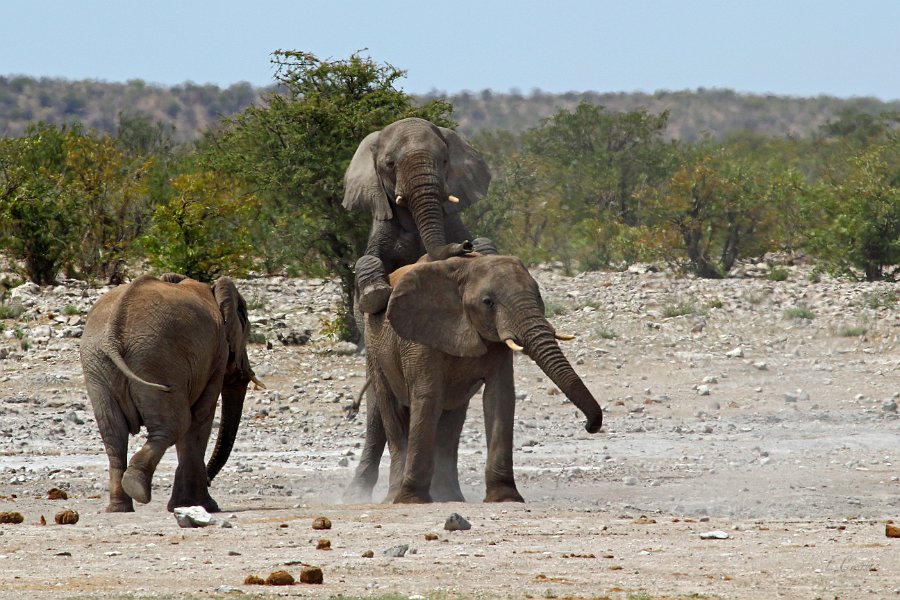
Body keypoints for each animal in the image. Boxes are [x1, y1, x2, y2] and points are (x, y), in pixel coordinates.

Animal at [79, 272, 260, 510]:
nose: (210, 480)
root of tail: (112, 337)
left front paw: (187, 506)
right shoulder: (217, 354)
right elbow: (200, 419)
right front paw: (202, 506)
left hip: (100, 364)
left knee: (113, 434)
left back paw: (119, 508)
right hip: (155, 359)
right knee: (176, 424)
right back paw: (137, 488)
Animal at [344, 255, 604, 504]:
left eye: (538, 295)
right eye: (488, 302)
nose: (590, 426)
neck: (464, 268)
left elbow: (499, 397)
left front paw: (505, 498)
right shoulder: (419, 335)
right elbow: (428, 396)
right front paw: (411, 500)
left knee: (450, 424)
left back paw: (448, 497)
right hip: (375, 347)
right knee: (392, 412)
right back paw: (395, 497)